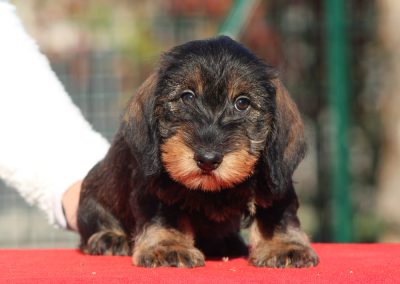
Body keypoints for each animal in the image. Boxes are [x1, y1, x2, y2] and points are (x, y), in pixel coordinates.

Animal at [77, 36, 318, 268]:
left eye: (242, 103)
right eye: (187, 97)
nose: (207, 159)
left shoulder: (275, 180)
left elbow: (276, 216)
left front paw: (284, 246)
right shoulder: (155, 189)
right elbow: (165, 217)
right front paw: (168, 246)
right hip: (93, 196)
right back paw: (109, 237)